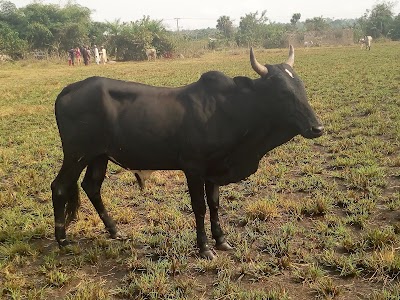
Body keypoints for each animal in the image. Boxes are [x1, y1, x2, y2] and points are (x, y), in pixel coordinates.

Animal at [50, 45, 324, 258]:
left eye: (301, 86)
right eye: (283, 91)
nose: (317, 128)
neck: (231, 110)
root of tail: (69, 89)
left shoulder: (214, 170)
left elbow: (214, 204)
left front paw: (221, 240)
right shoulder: (193, 168)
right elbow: (199, 206)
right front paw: (204, 248)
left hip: (99, 156)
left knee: (92, 186)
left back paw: (115, 231)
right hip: (76, 155)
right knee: (60, 186)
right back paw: (62, 240)